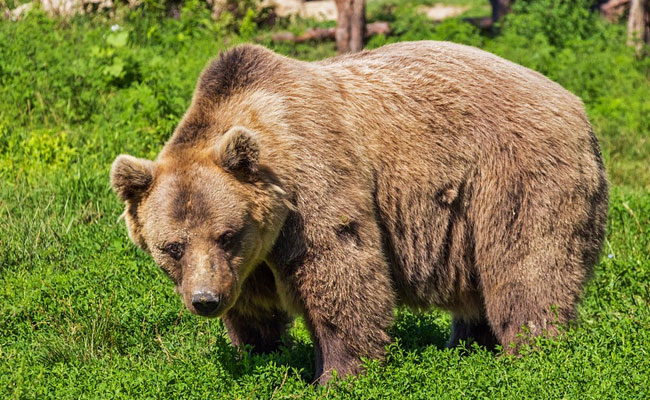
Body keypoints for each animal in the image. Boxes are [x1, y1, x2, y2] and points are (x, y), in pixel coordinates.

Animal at [110, 41, 608, 385]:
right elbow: (254, 308)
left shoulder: (314, 186)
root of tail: (577, 105)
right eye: (172, 247)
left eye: (226, 234)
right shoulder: (250, 259)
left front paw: (337, 374)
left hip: (515, 177)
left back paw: (531, 353)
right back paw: (467, 347)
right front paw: (260, 353)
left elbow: (341, 272)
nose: (205, 300)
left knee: (527, 268)